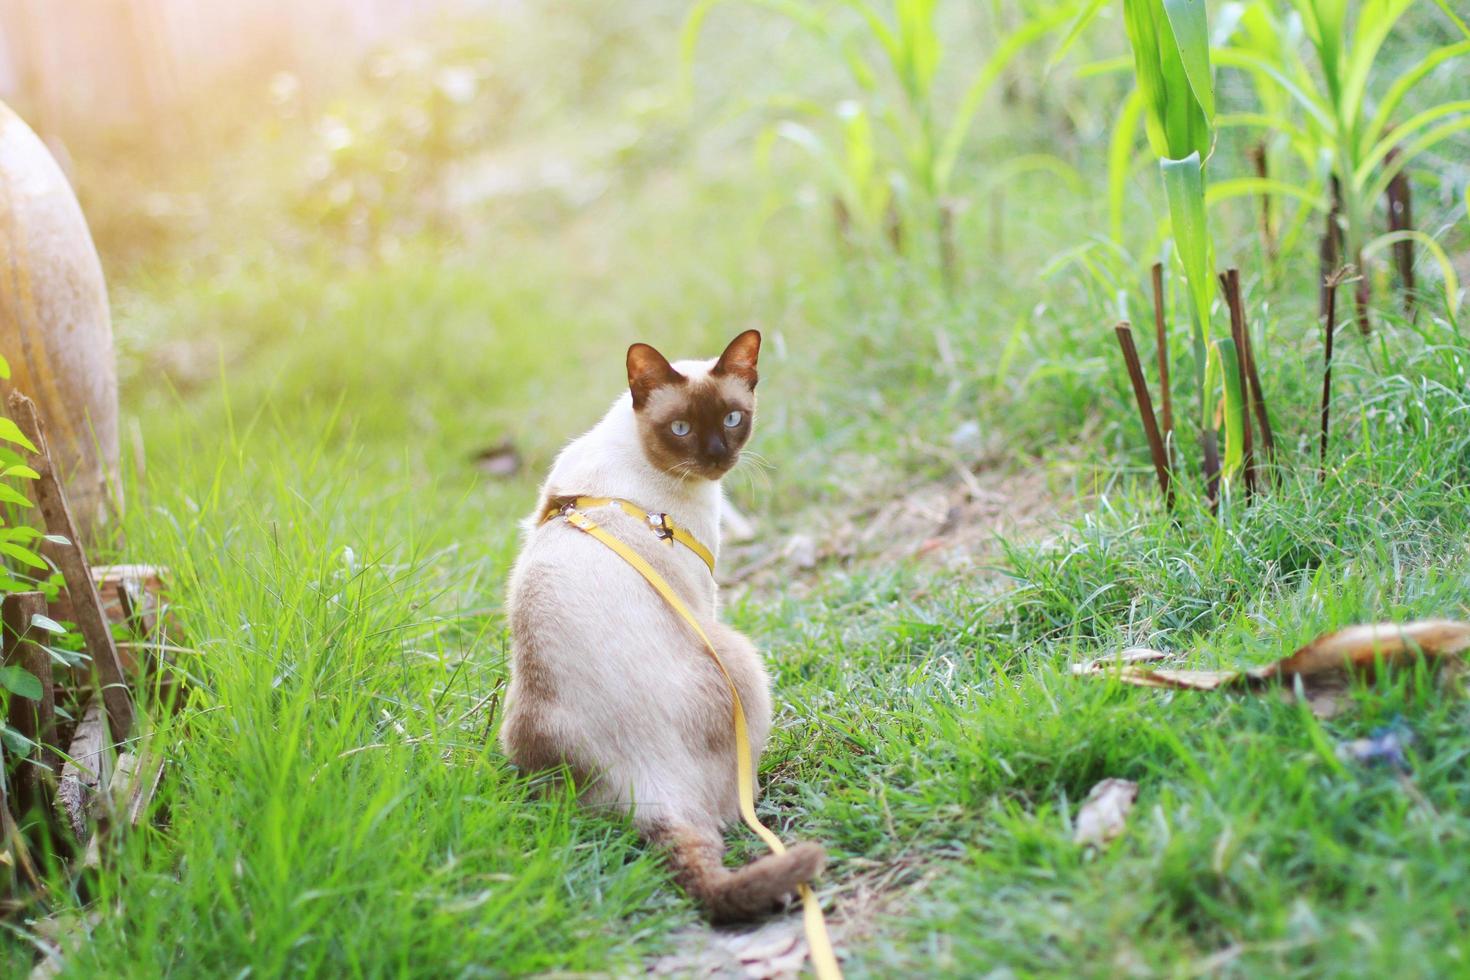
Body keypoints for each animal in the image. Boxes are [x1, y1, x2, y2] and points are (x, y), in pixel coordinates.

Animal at [502, 333, 829, 922]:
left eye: (732, 418)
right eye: (680, 429)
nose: (717, 457)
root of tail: (650, 787)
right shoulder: (707, 600)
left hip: (519, 727)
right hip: (740, 657)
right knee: (729, 809)